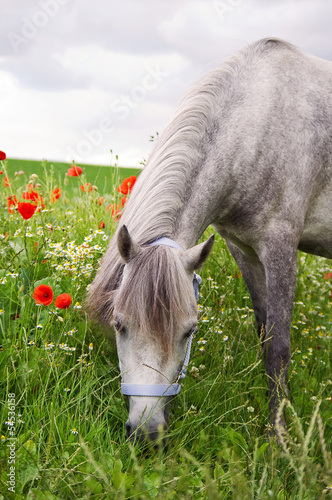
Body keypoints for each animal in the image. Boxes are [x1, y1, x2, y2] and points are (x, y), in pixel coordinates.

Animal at [87, 37, 332, 442]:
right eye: (120, 324)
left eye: (190, 331)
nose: (147, 433)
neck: (258, 125)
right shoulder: (243, 248)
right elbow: (264, 332)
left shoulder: (280, 247)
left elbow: (278, 347)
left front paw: (279, 438)